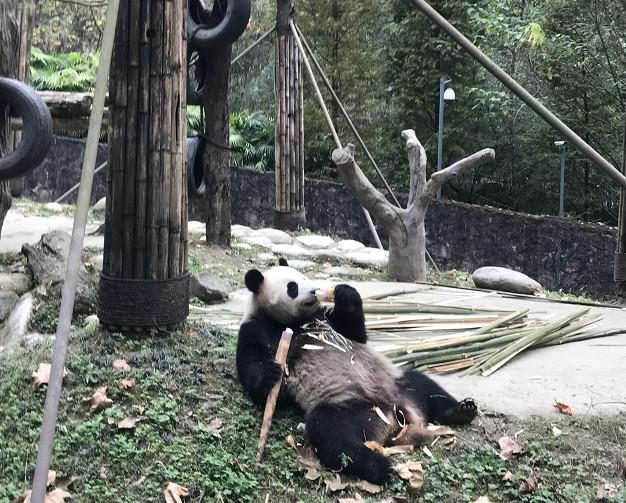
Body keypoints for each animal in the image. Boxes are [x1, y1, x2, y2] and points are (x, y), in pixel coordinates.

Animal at [236, 260, 476, 484]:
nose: (314, 291)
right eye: (292, 287)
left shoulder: (325, 317)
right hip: (354, 410)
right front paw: (271, 374)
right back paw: (382, 467)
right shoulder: (257, 327)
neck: (296, 321)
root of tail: (397, 418)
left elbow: (355, 333)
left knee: (421, 382)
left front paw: (344, 294)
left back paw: (461, 410)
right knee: (332, 433)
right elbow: (252, 366)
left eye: (304, 277)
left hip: (396, 385)